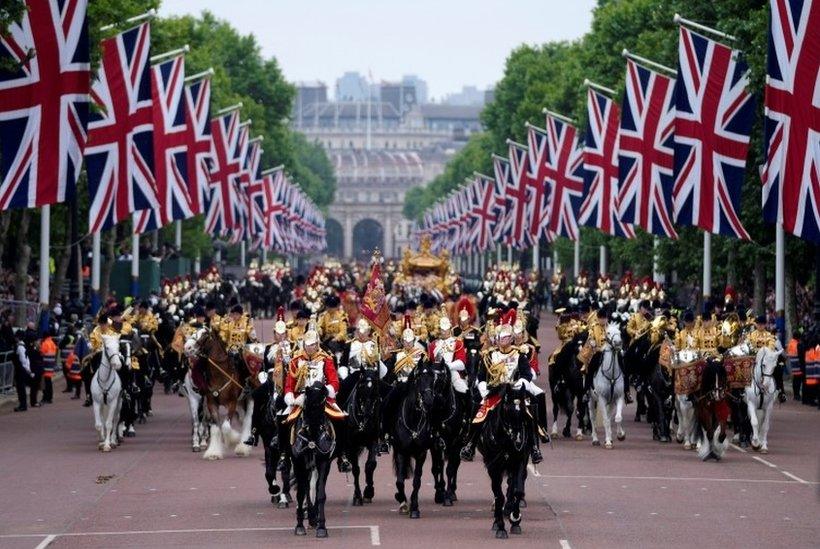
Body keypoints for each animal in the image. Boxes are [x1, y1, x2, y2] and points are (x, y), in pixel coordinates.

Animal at [195, 330, 255, 458]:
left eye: (205, 335)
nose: (189, 349)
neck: (220, 374)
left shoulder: (231, 403)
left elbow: (226, 427)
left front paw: (233, 439)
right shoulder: (212, 404)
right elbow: (216, 428)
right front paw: (213, 453)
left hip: (247, 399)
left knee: (247, 420)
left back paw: (243, 447)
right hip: (240, 403)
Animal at [292, 382, 336, 536]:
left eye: (322, 405)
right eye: (307, 405)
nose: (313, 442)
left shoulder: (324, 463)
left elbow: (320, 493)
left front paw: (321, 526)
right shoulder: (298, 463)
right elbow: (300, 494)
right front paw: (299, 526)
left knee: (313, 488)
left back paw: (313, 517)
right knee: (305, 488)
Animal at [336, 366, 382, 508]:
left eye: (376, 387)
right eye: (361, 387)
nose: (367, 415)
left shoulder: (373, 440)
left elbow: (370, 465)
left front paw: (368, 492)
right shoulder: (352, 444)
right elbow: (356, 469)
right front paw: (357, 495)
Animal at [392, 360, 438, 520]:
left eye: (433, 379)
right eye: (419, 379)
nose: (429, 401)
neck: (413, 419)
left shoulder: (421, 454)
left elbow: (417, 481)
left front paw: (414, 508)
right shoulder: (400, 451)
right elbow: (400, 481)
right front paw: (402, 501)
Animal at [474, 384, 532, 536]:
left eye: (523, 409)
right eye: (507, 409)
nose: (518, 440)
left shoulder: (519, 462)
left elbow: (517, 491)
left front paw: (515, 518)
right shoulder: (493, 467)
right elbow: (498, 496)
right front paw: (500, 526)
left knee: (512, 485)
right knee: (498, 492)